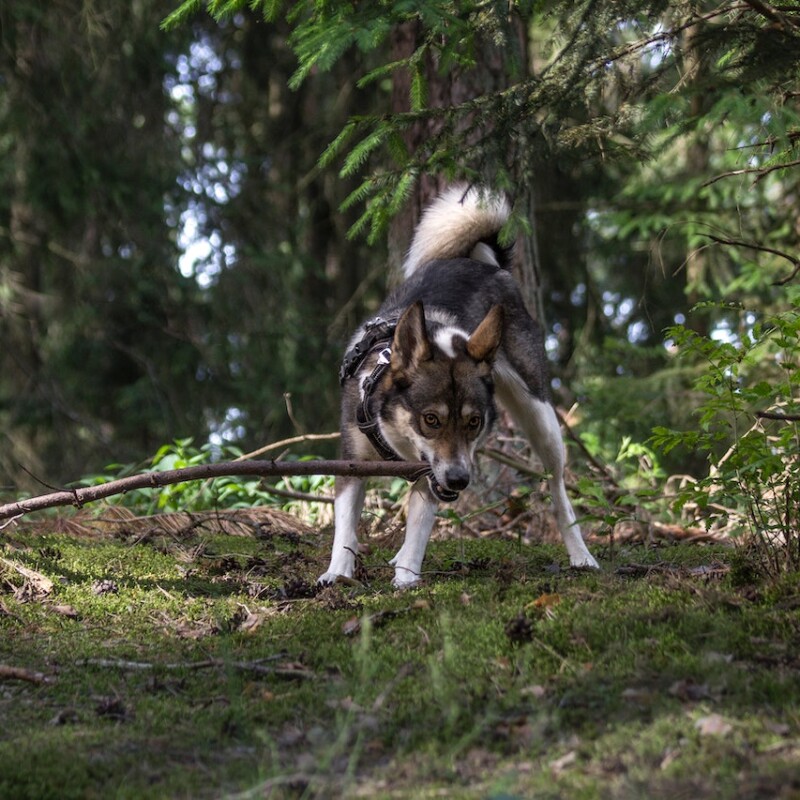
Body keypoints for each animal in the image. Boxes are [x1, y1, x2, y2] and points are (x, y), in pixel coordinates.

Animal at [318, 186, 600, 588]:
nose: (459, 480)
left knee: (558, 487)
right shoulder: (353, 462)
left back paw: (580, 553)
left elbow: (418, 528)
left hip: (540, 415)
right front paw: (337, 572)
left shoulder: (434, 473)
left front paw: (406, 578)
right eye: (430, 419)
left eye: (473, 422)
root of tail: (486, 265)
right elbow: (345, 526)